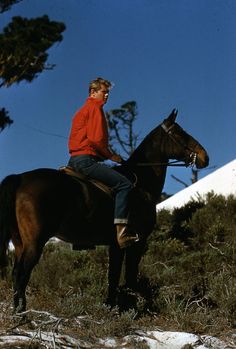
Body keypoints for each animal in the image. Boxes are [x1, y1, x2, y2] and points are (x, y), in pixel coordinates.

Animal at [0, 109, 208, 310]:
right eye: (180, 133)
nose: (205, 157)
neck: (142, 184)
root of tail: (20, 178)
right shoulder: (135, 242)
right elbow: (127, 275)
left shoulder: (115, 245)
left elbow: (113, 276)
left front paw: (112, 305)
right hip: (35, 242)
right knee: (22, 273)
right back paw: (21, 311)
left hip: (20, 242)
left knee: (16, 272)